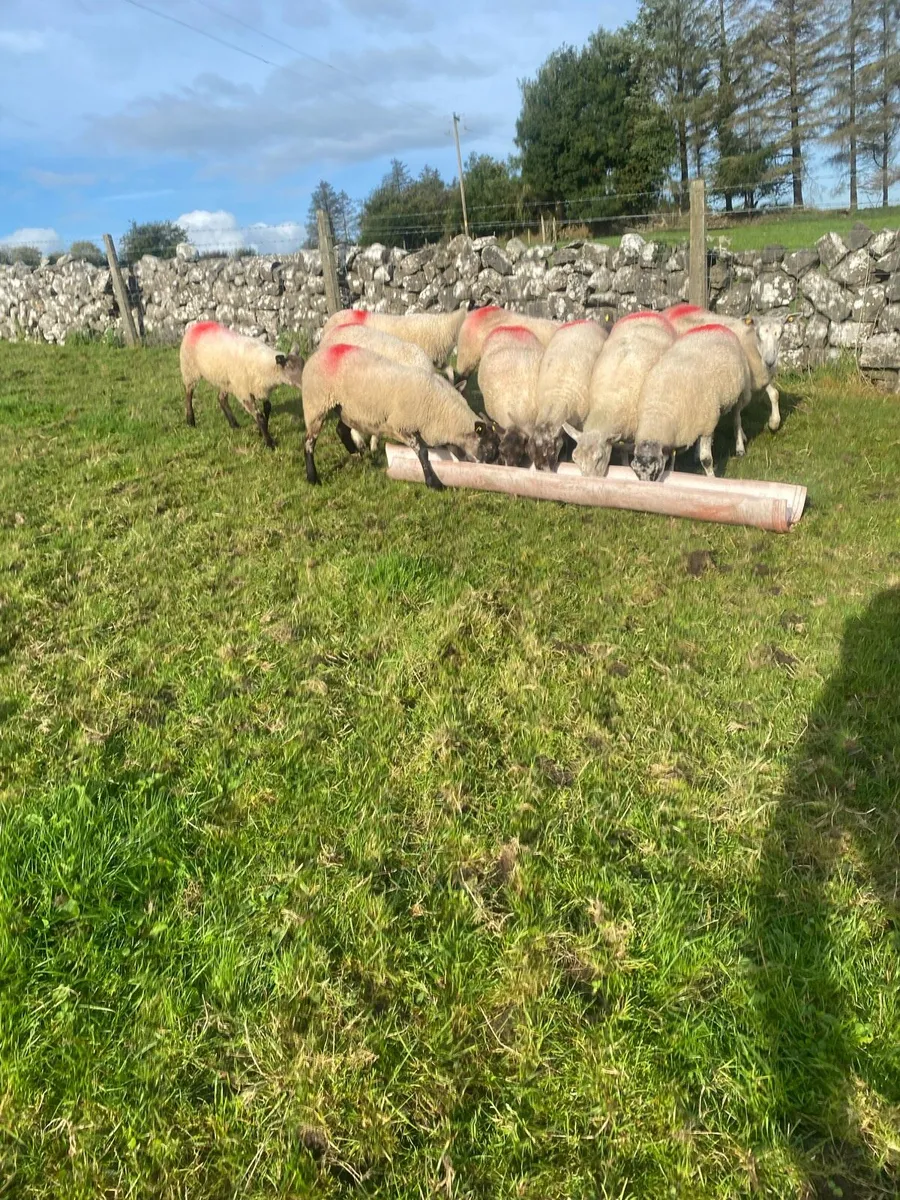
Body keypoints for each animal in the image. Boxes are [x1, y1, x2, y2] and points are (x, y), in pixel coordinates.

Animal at [180, 320, 303, 449]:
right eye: (290, 368)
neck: (264, 365)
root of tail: (198, 324)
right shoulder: (244, 392)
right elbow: (260, 417)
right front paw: (269, 443)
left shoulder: (261, 389)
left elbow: (267, 408)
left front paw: (261, 432)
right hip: (189, 370)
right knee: (188, 394)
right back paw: (190, 420)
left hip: (226, 380)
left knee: (221, 398)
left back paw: (234, 424)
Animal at [301, 342, 502, 488]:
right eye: (490, 447)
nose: (497, 465)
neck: (442, 409)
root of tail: (319, 353)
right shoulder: (401, 425)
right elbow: (422, 452)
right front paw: (433, 483)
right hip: (316, 405)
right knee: (309, 442)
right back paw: (313, 478)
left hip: (347, 408)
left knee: (341, 429)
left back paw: (357, 455)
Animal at [563, 311, 676, 477]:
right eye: (574, 458)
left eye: (599, 457)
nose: (588, 481)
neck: (609, 403)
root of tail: (647, 312)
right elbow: (622, 452)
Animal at [631, 322, 752, 481]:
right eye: (637, 473)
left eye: (654, 472)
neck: (660, 410)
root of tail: (715, 325)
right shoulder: (679, 432)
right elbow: (672, 458)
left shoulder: (706, 425)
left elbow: (706, 460)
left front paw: (711, 478)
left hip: (739, 392)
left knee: (736, 419)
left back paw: (739, 448)